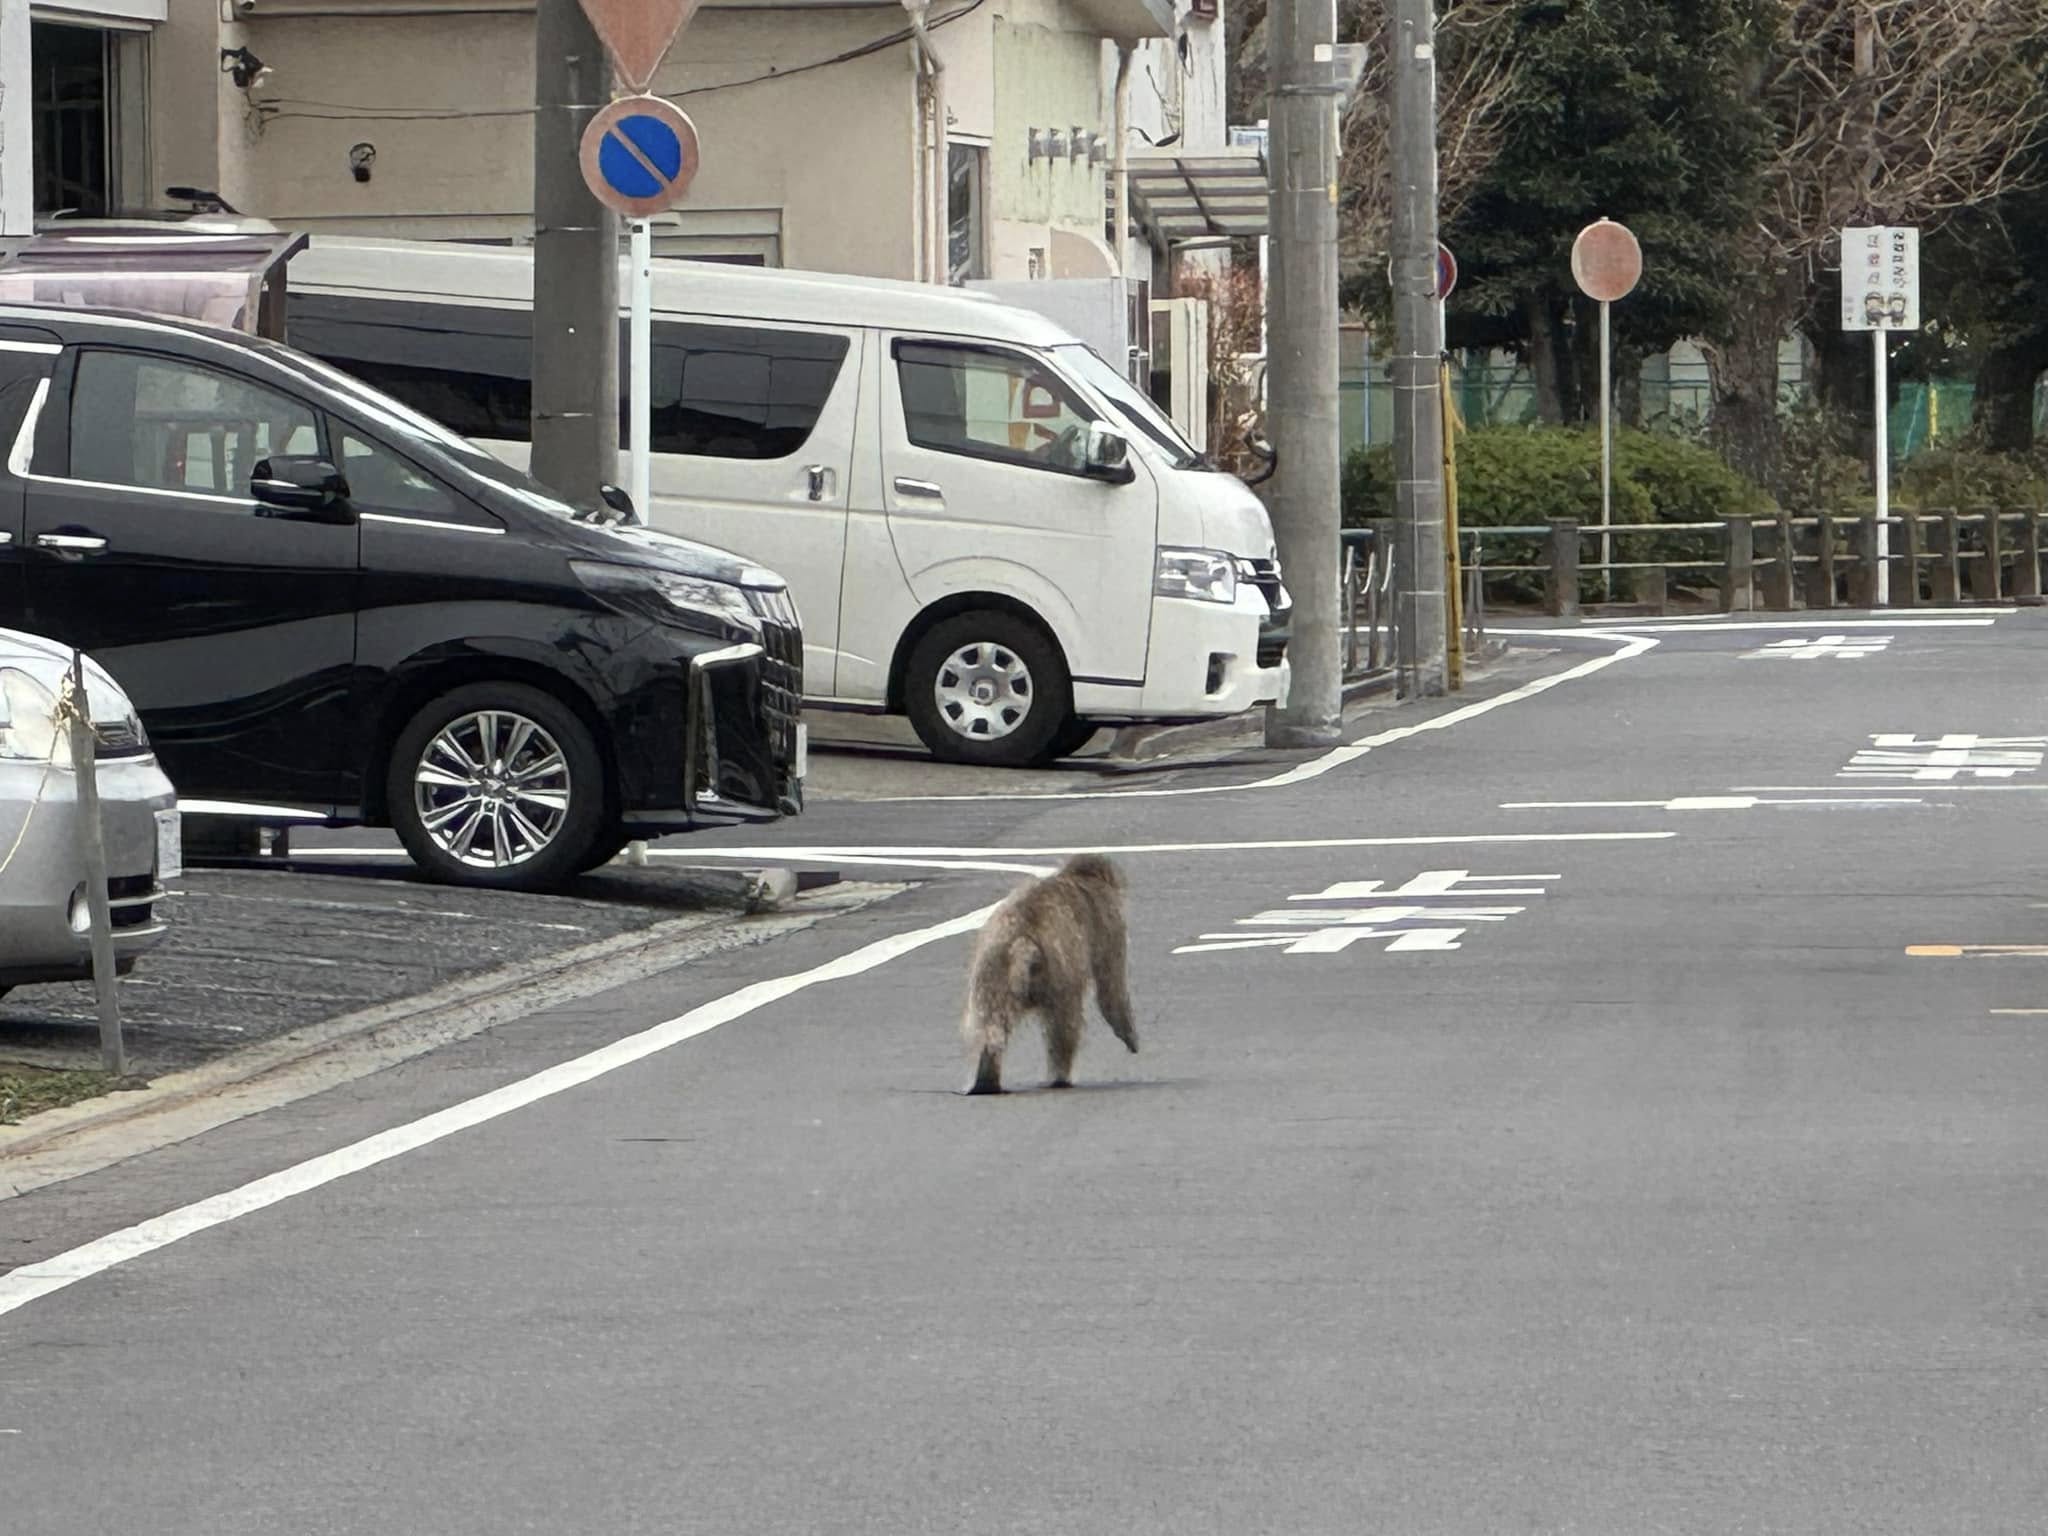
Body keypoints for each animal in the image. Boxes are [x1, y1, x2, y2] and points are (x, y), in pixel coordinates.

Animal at [958, 856, 1138, 1097]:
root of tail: (1021, 940)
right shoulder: (1110, 920)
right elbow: (1111, 989)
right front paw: (1129, 1035)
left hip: (991, 971)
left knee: (991, 1026)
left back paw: (987, 1078)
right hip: (1055, 975)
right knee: (1065, 1023)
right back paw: (1059, 1077)